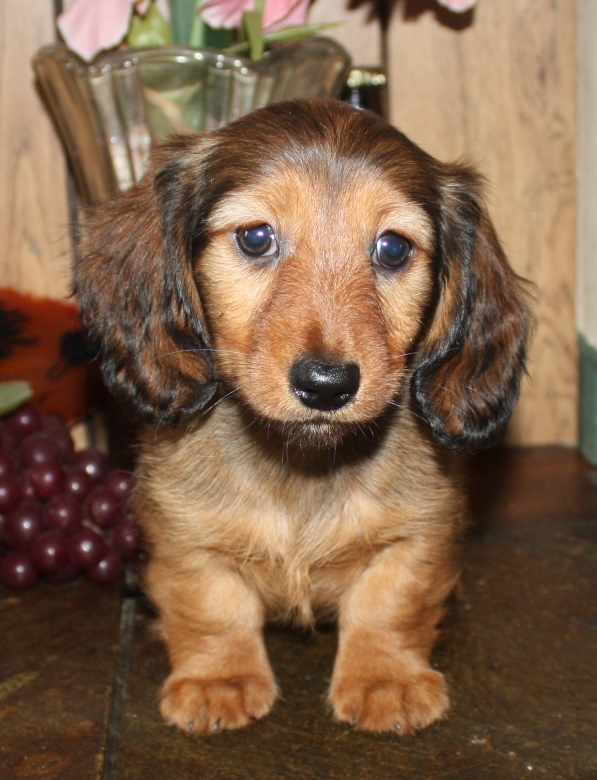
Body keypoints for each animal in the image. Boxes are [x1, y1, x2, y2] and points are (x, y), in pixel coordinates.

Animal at [75, 99, 532, 736]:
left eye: (393, 248)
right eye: (256, 237)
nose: (326, 385)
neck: (302, 468)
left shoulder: (421, 527)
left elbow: (390, 601)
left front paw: (385, 678)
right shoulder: (181, 530)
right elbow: (211, 603)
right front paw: (219, 679)